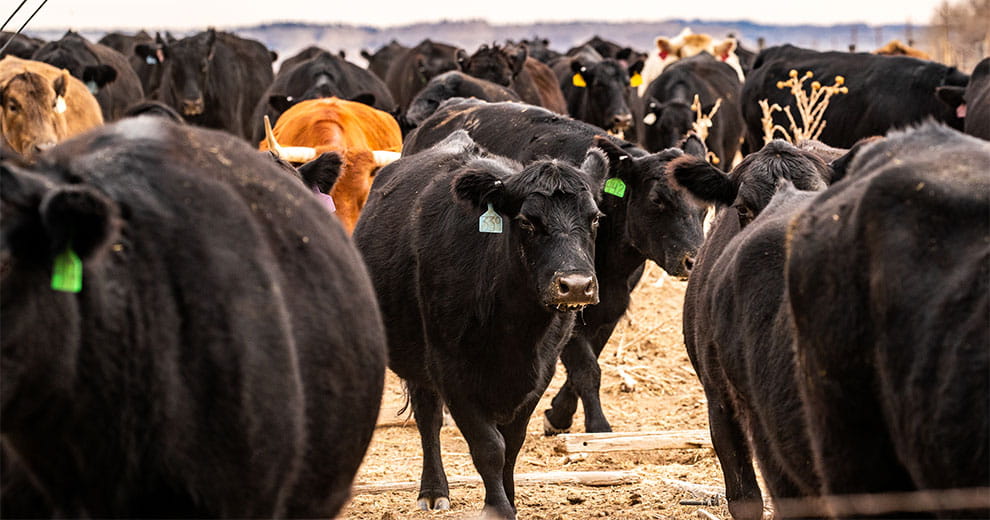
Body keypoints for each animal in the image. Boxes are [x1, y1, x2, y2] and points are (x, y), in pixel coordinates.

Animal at [353, 130, 608, 519]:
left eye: (594, 218)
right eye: (526, 221)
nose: (576, 285)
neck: (515, 329)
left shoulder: (542, 372)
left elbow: (513, 443)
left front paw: (511, 500)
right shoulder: (450, 370)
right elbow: (489, 446)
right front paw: (498, 508)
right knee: (428, 419)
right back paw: (433, 490)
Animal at [404, 98, 704, 434]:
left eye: (704, 203)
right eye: (657, 199)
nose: (693, 260)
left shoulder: (605, 306)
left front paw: (560, 413)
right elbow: (587, 368)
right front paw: (596, 425)